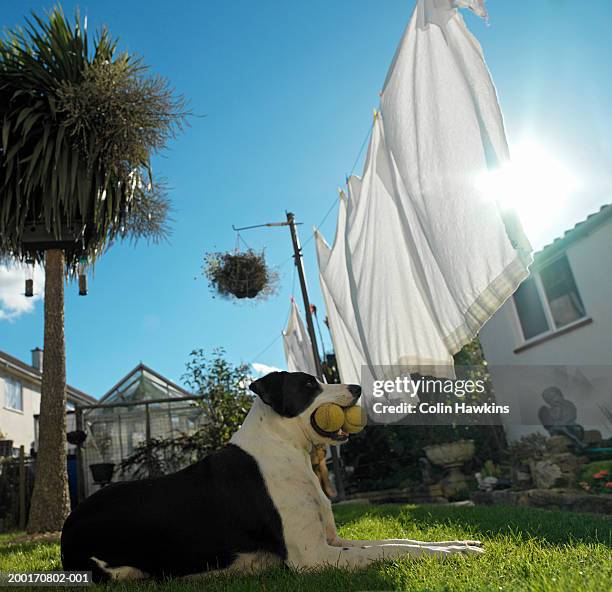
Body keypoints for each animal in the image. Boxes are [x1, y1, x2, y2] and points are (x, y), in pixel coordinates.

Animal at [62, 372, 482, 580]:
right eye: (309, 384)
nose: (357, 387)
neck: (286, 448)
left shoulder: (333, 540)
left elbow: (398, 539)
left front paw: (460, 543)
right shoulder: (312, 556)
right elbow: (392, 549)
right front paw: (455, 552)